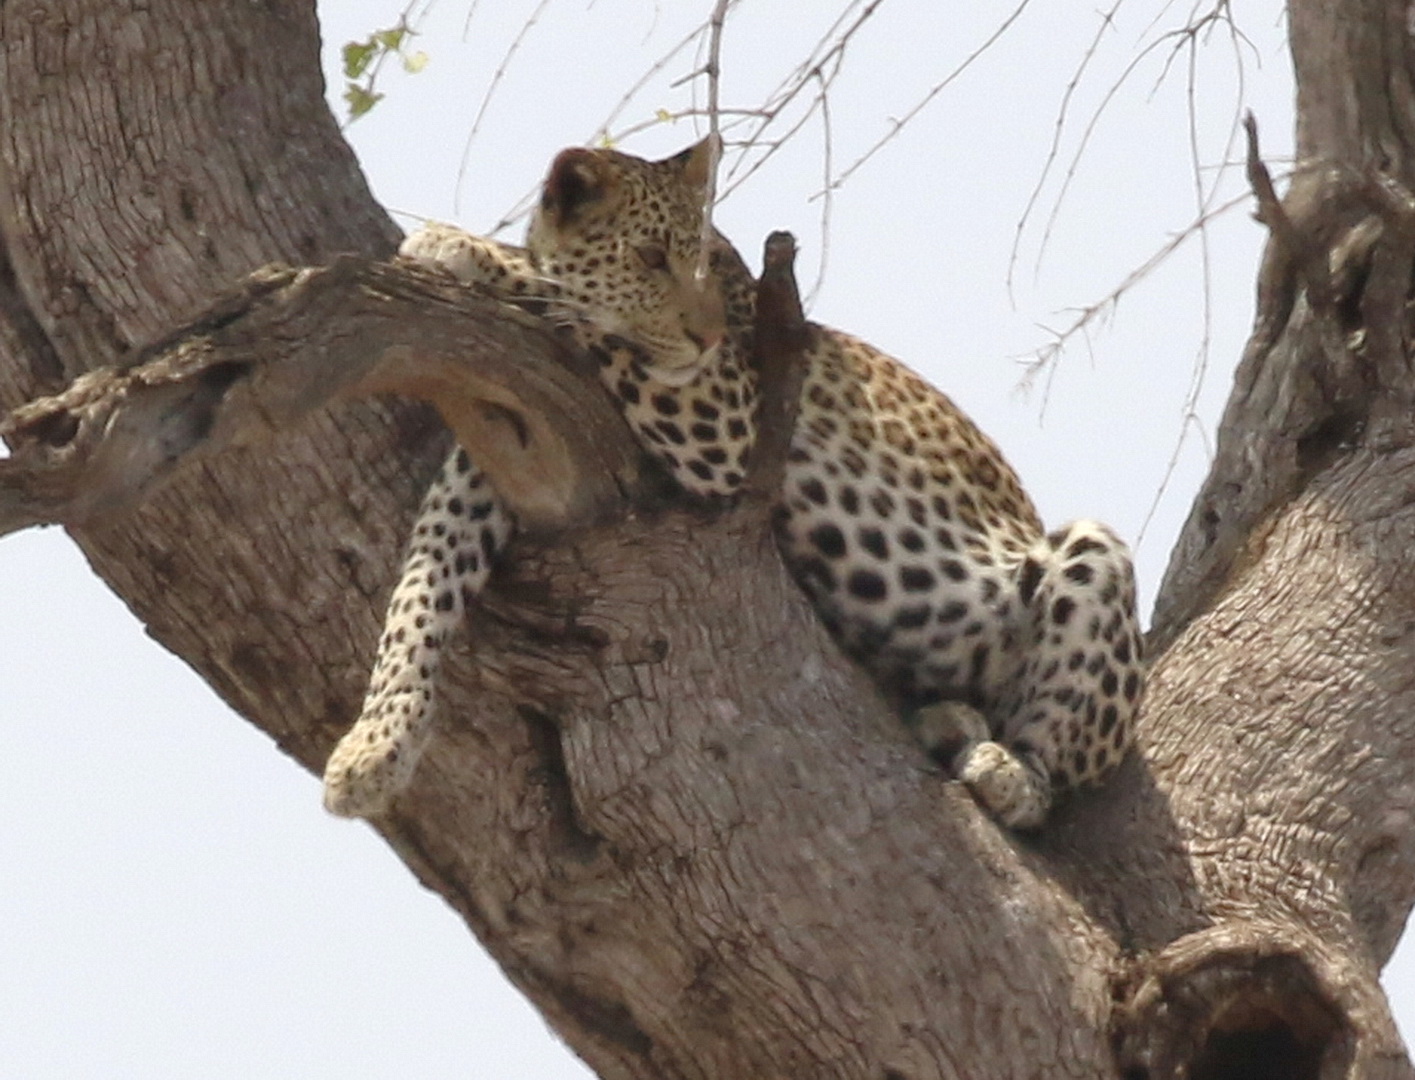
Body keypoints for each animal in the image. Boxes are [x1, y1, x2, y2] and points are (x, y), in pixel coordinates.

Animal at [321, 138, 1145, 829]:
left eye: (696, 262)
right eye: (651, 257)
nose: (709, 332)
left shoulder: (723, 416)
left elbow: (576, 309)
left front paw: (457, 245)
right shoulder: (501, 456)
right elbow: (420, 589)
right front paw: (374, 751)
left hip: (1091, 559)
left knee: (1053, 780)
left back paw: (1003, 768)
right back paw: (951, 721)